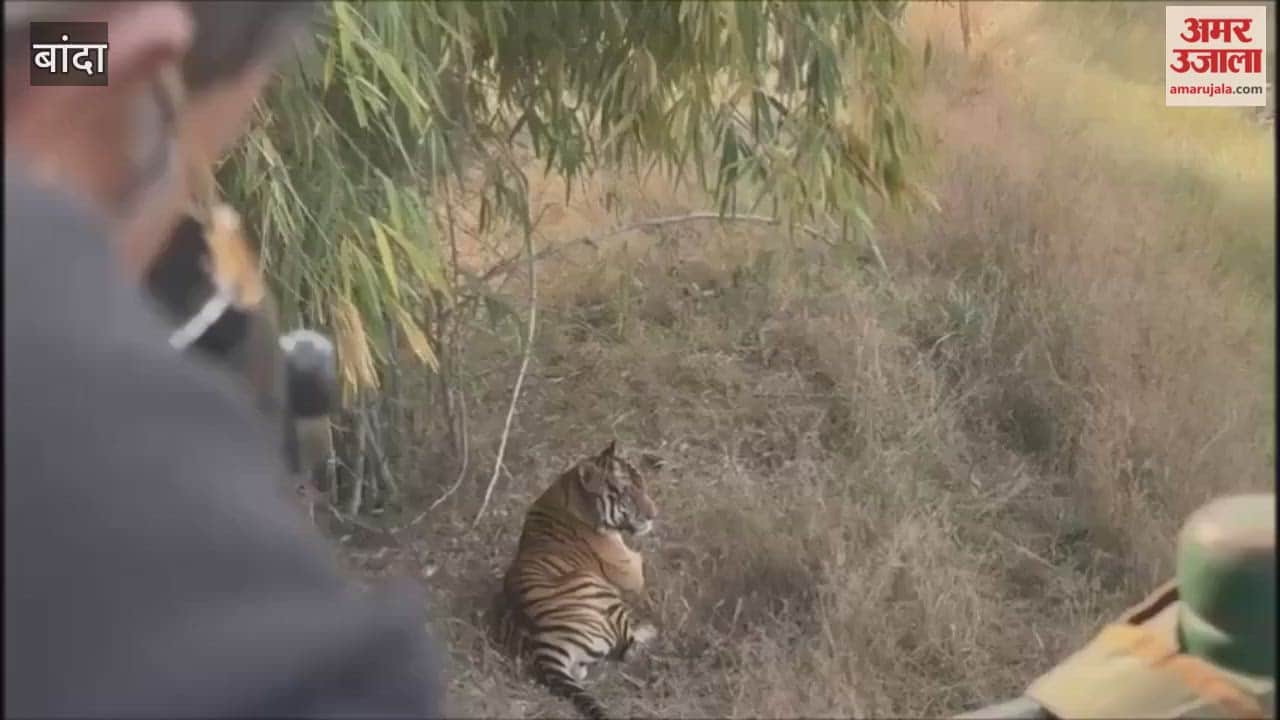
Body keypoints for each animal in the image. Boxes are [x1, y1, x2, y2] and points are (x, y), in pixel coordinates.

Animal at [493, 440, 660, 720]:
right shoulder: (632, 574)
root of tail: (543, 645)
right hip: (598, 590)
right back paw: (651, 632)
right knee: (630, 649)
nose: (653, 515)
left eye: (643, 484)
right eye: (627, 492)